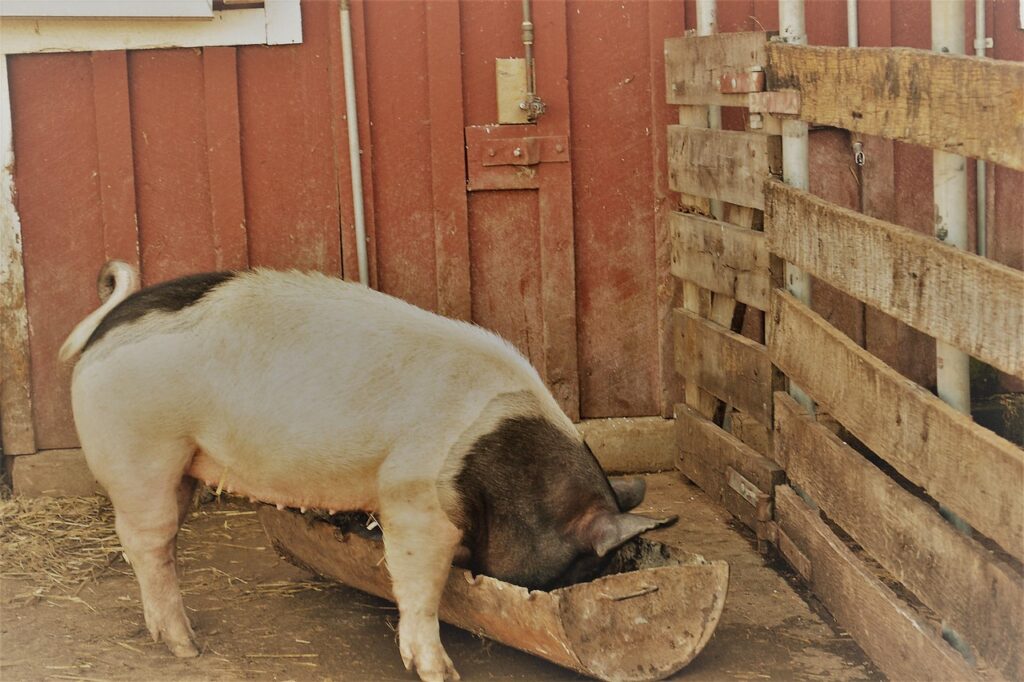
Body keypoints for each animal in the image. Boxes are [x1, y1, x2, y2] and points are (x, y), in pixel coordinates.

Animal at [59, 260, 674, 682]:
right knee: (148, 545)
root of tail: (104, 327)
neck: (502, 460)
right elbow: (417, 581)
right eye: (584, 565)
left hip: (179, 463)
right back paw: (188, 648)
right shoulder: (414, 497)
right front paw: (442, 673)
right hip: (142, 451)